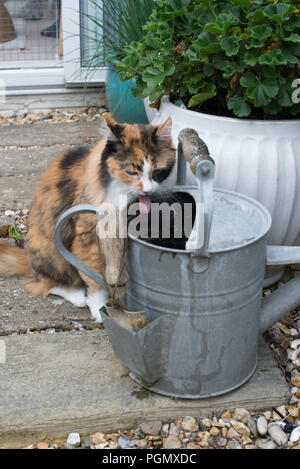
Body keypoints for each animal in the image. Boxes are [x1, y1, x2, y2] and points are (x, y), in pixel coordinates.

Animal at [0, 116, 176, 322]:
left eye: (157, 172)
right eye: (132, 172)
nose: (147, 191)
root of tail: (28, 257)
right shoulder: (88, 236)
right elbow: (95, 279)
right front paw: (101, 309)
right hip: (50, 250)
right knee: (45, 283)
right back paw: (77, 296)